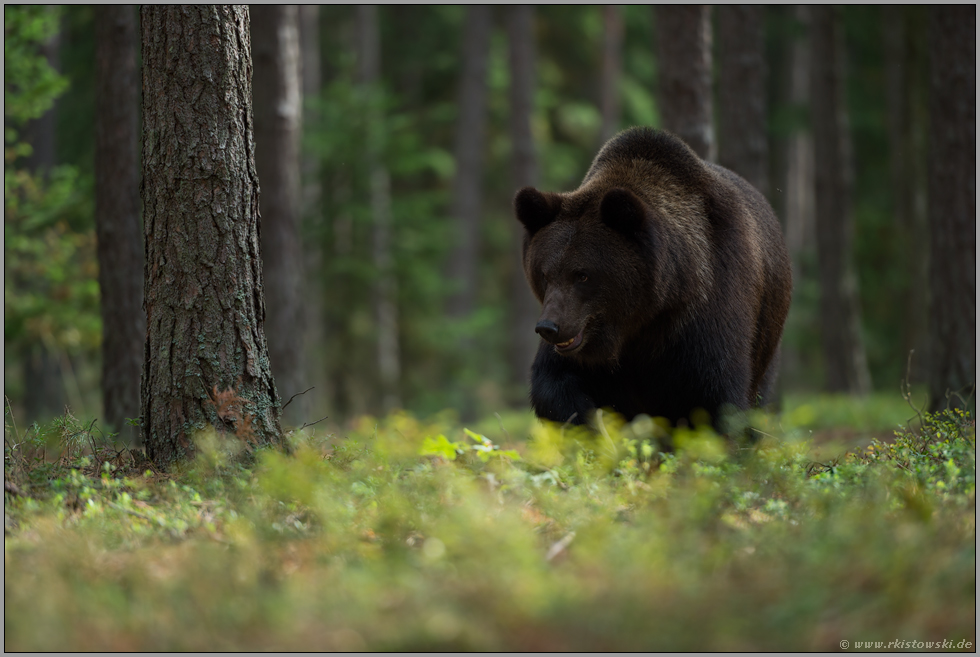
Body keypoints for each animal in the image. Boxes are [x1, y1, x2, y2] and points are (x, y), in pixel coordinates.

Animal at [516, 125, 792, 428]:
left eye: (583, 275)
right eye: (545, 274)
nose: (548, 327)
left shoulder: (709, 308)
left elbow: (716, 396)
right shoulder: (586, 349)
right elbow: (554, 385)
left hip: (766, 334)